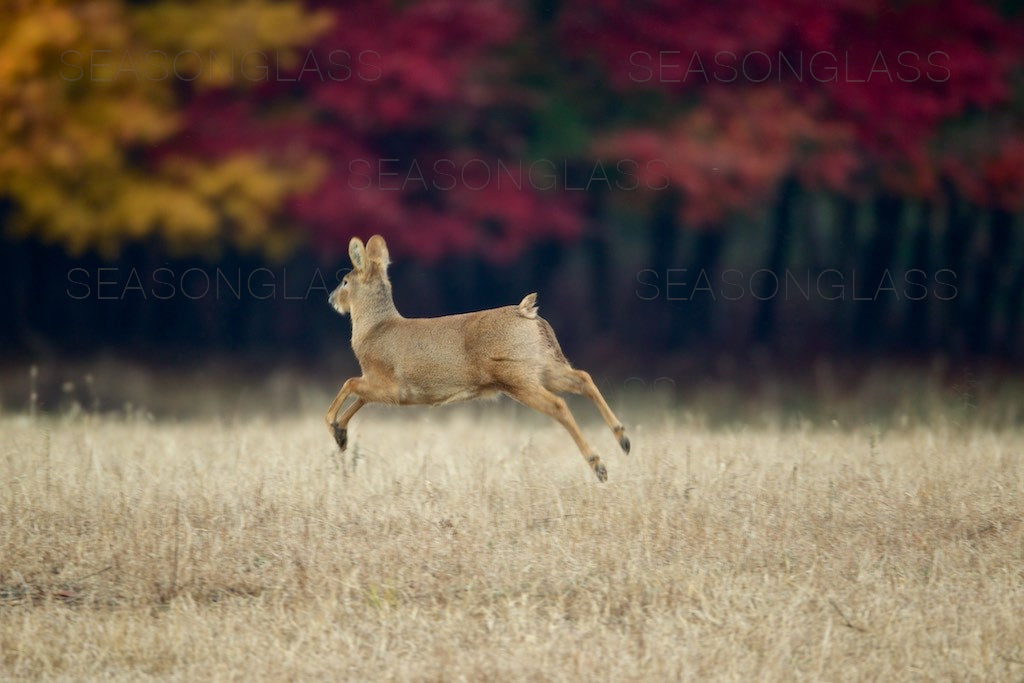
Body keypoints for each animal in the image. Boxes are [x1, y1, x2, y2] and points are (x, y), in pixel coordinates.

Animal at [327, 237, 630, 483]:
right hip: (542, 366)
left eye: (345, 281)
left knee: (559, 404)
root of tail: (527, 312)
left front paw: (332, 425)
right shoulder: (380, 385)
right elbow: (359, 396)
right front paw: (341, 435)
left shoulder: (390, 384)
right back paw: (623, 438)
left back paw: (599, 465)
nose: (331, 299)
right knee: (583, 378)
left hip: (515, 374)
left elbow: (349, 383)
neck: (373, 330)